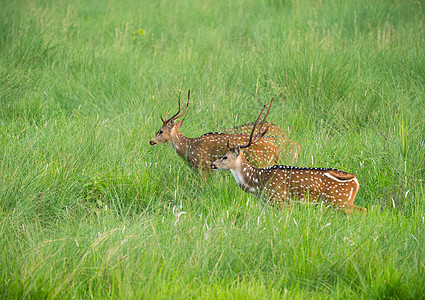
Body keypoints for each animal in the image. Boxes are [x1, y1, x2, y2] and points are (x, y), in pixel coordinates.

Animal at [149, 90, 284, 177]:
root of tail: (277, 151)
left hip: (260, 162)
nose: (151, 141)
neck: (189, 148)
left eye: (160, 131)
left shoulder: (203, 166)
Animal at [210, 110, 366, 213]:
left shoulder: (279, 199)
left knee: (362, 210)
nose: (213, 164)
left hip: (340, 202)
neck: (258, 184)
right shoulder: (265, 204)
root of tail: (356, 181)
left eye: (225, 156)